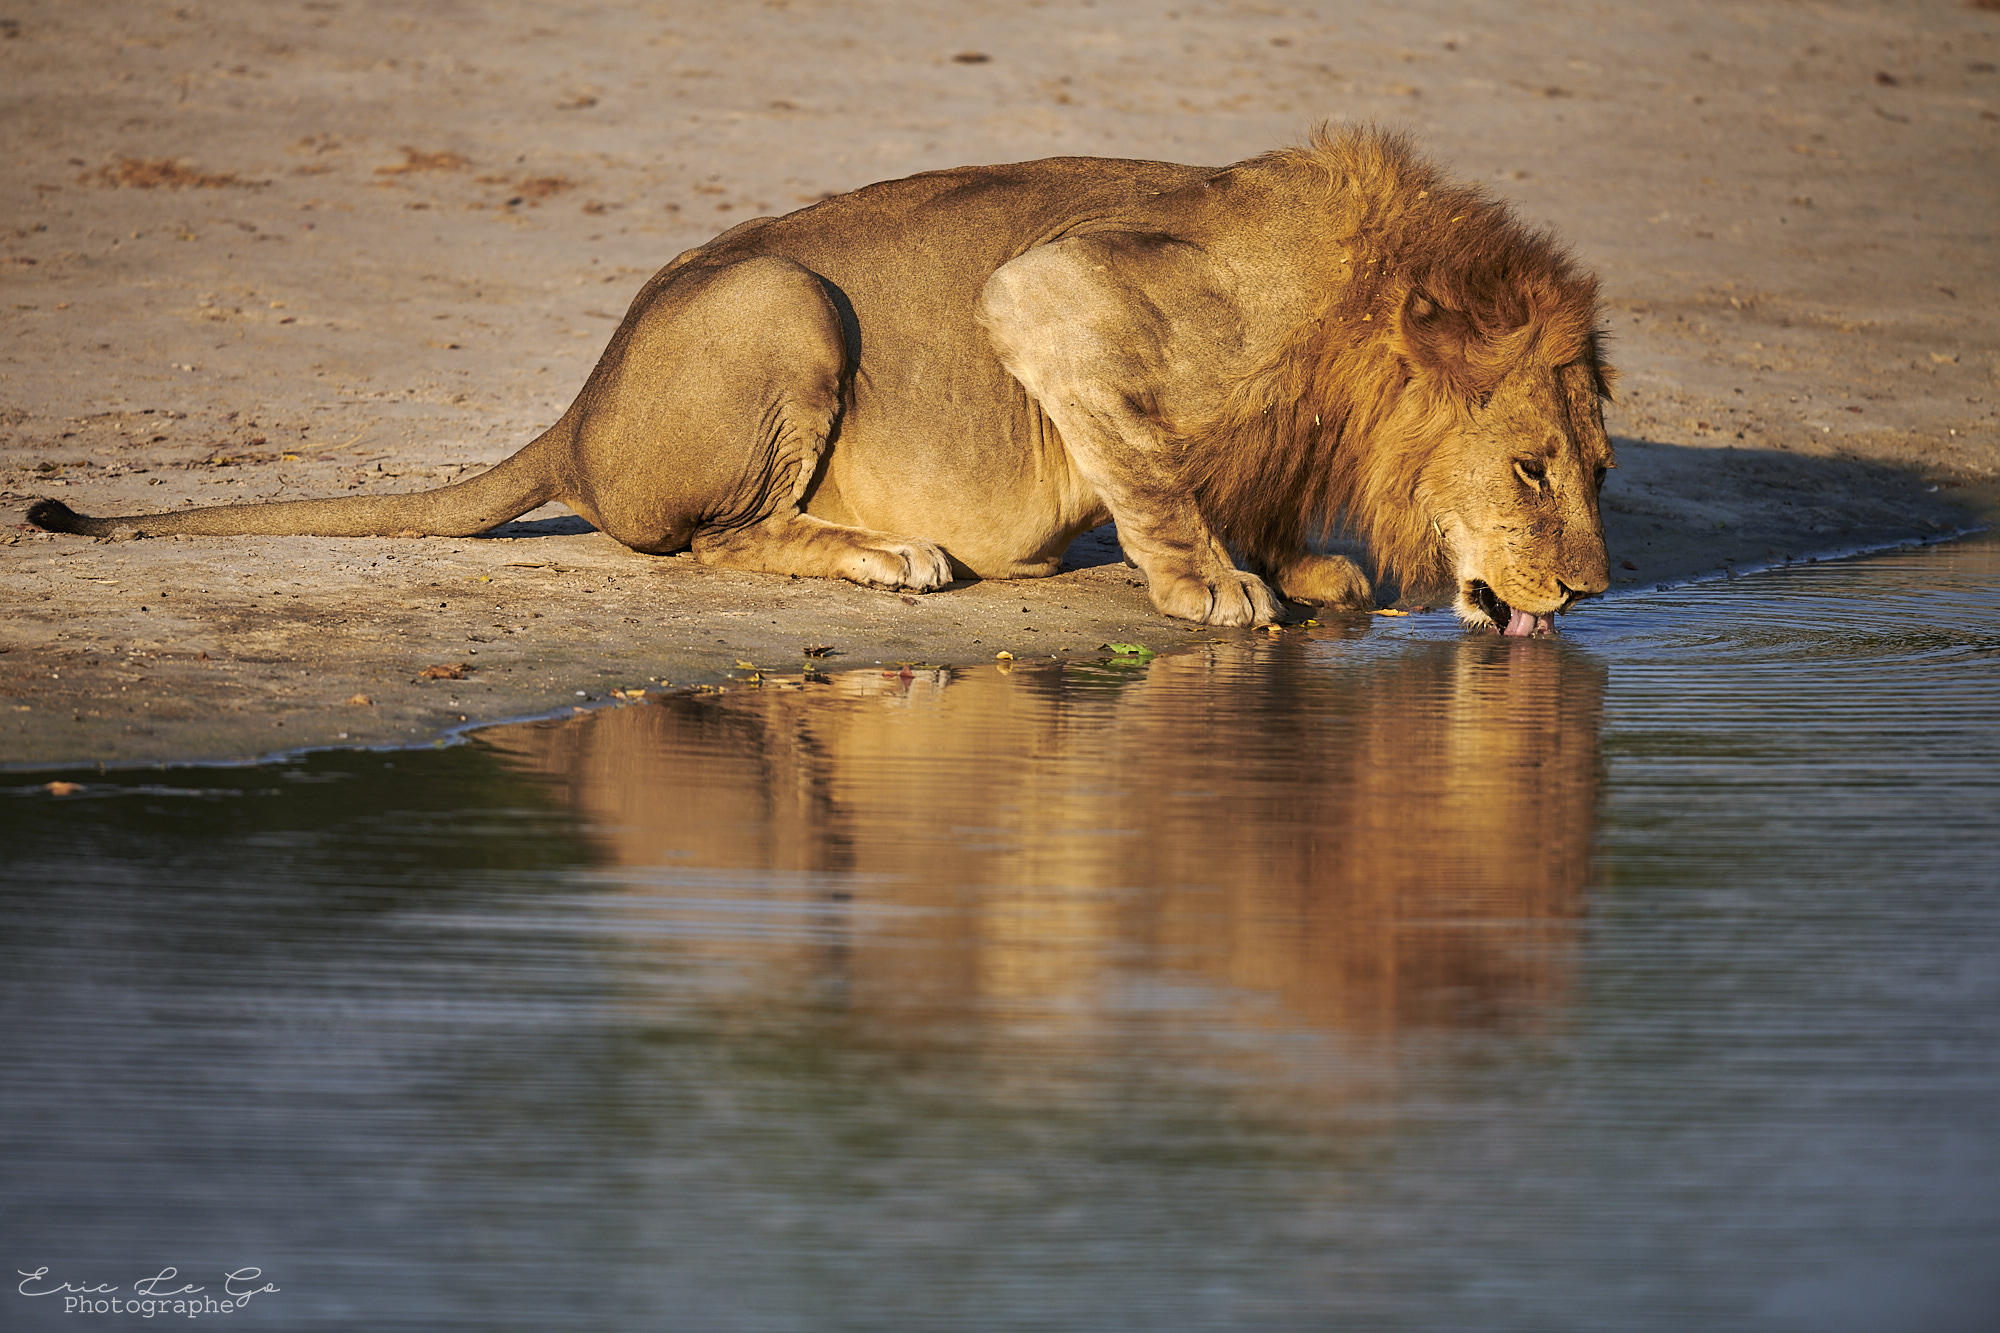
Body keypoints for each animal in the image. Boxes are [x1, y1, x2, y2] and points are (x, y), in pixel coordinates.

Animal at [29, 127, 1615, 634]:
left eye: (1597, 469)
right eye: (1531, 467)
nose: (1596, 593)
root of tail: (575, 412)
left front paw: (1298, 562)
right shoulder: (1047, 291)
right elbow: (1152, 470)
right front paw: (1214, 584)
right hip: (784, 300)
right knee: (715, 545)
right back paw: (889, 555)